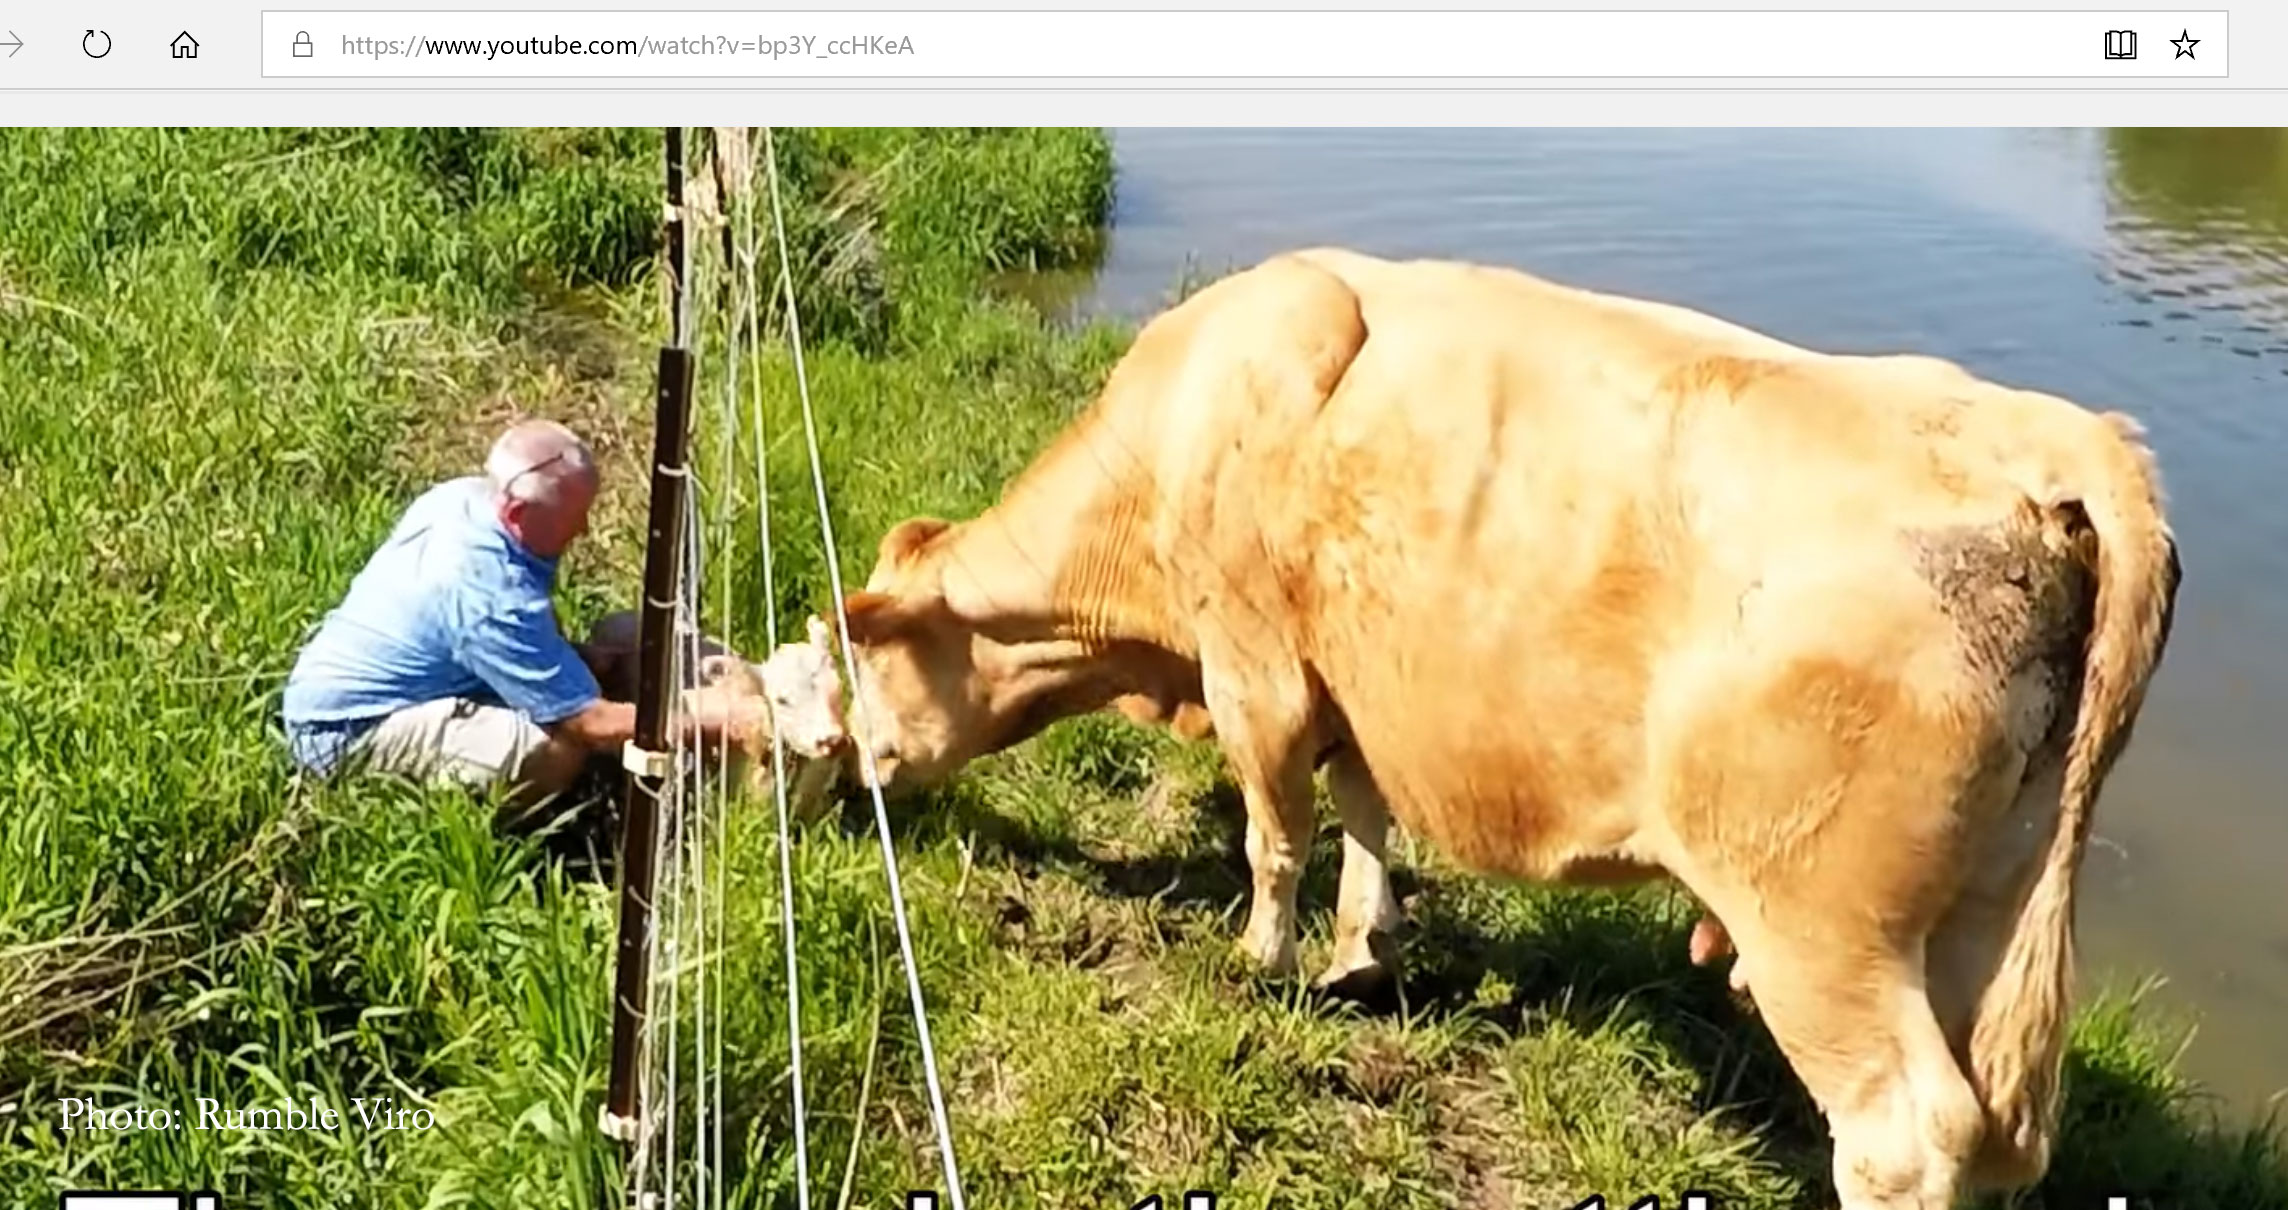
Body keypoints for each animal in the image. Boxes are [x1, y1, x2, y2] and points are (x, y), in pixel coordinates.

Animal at [825, 247, 2181, 1209]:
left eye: (858, 662)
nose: (849, 788)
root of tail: (2058, 440)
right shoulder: (1353, 679)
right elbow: (1364, 815)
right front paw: (1359, 954)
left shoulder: (1253, 666)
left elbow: (1275, 829)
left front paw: (1258, 960)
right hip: (1985, 900)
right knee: (1991, 1129)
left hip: (1822, 922)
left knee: (1906, 1132)